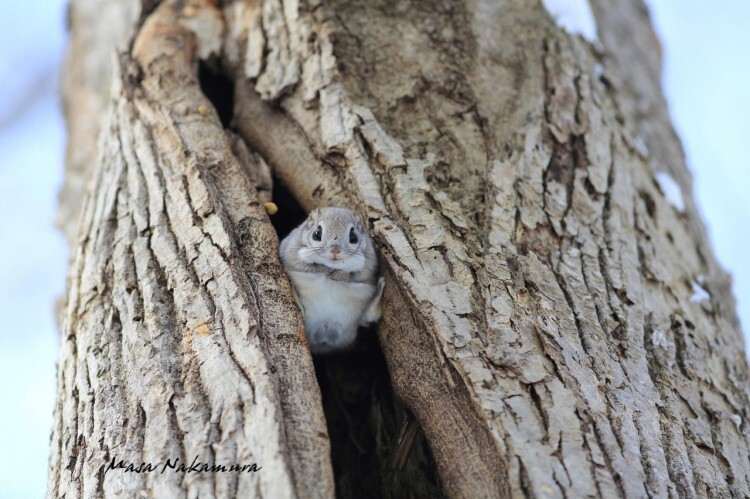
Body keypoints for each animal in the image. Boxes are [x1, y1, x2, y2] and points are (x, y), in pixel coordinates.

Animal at [278, 206, 388, 352]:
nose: (335, 250)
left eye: (353, 236)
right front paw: (324, 269)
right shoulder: (290, 250)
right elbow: (303, 265)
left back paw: (381, 286)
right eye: (317, 233)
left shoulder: (370, 263)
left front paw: (337, 275)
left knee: (369, 315)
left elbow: (357, 275)